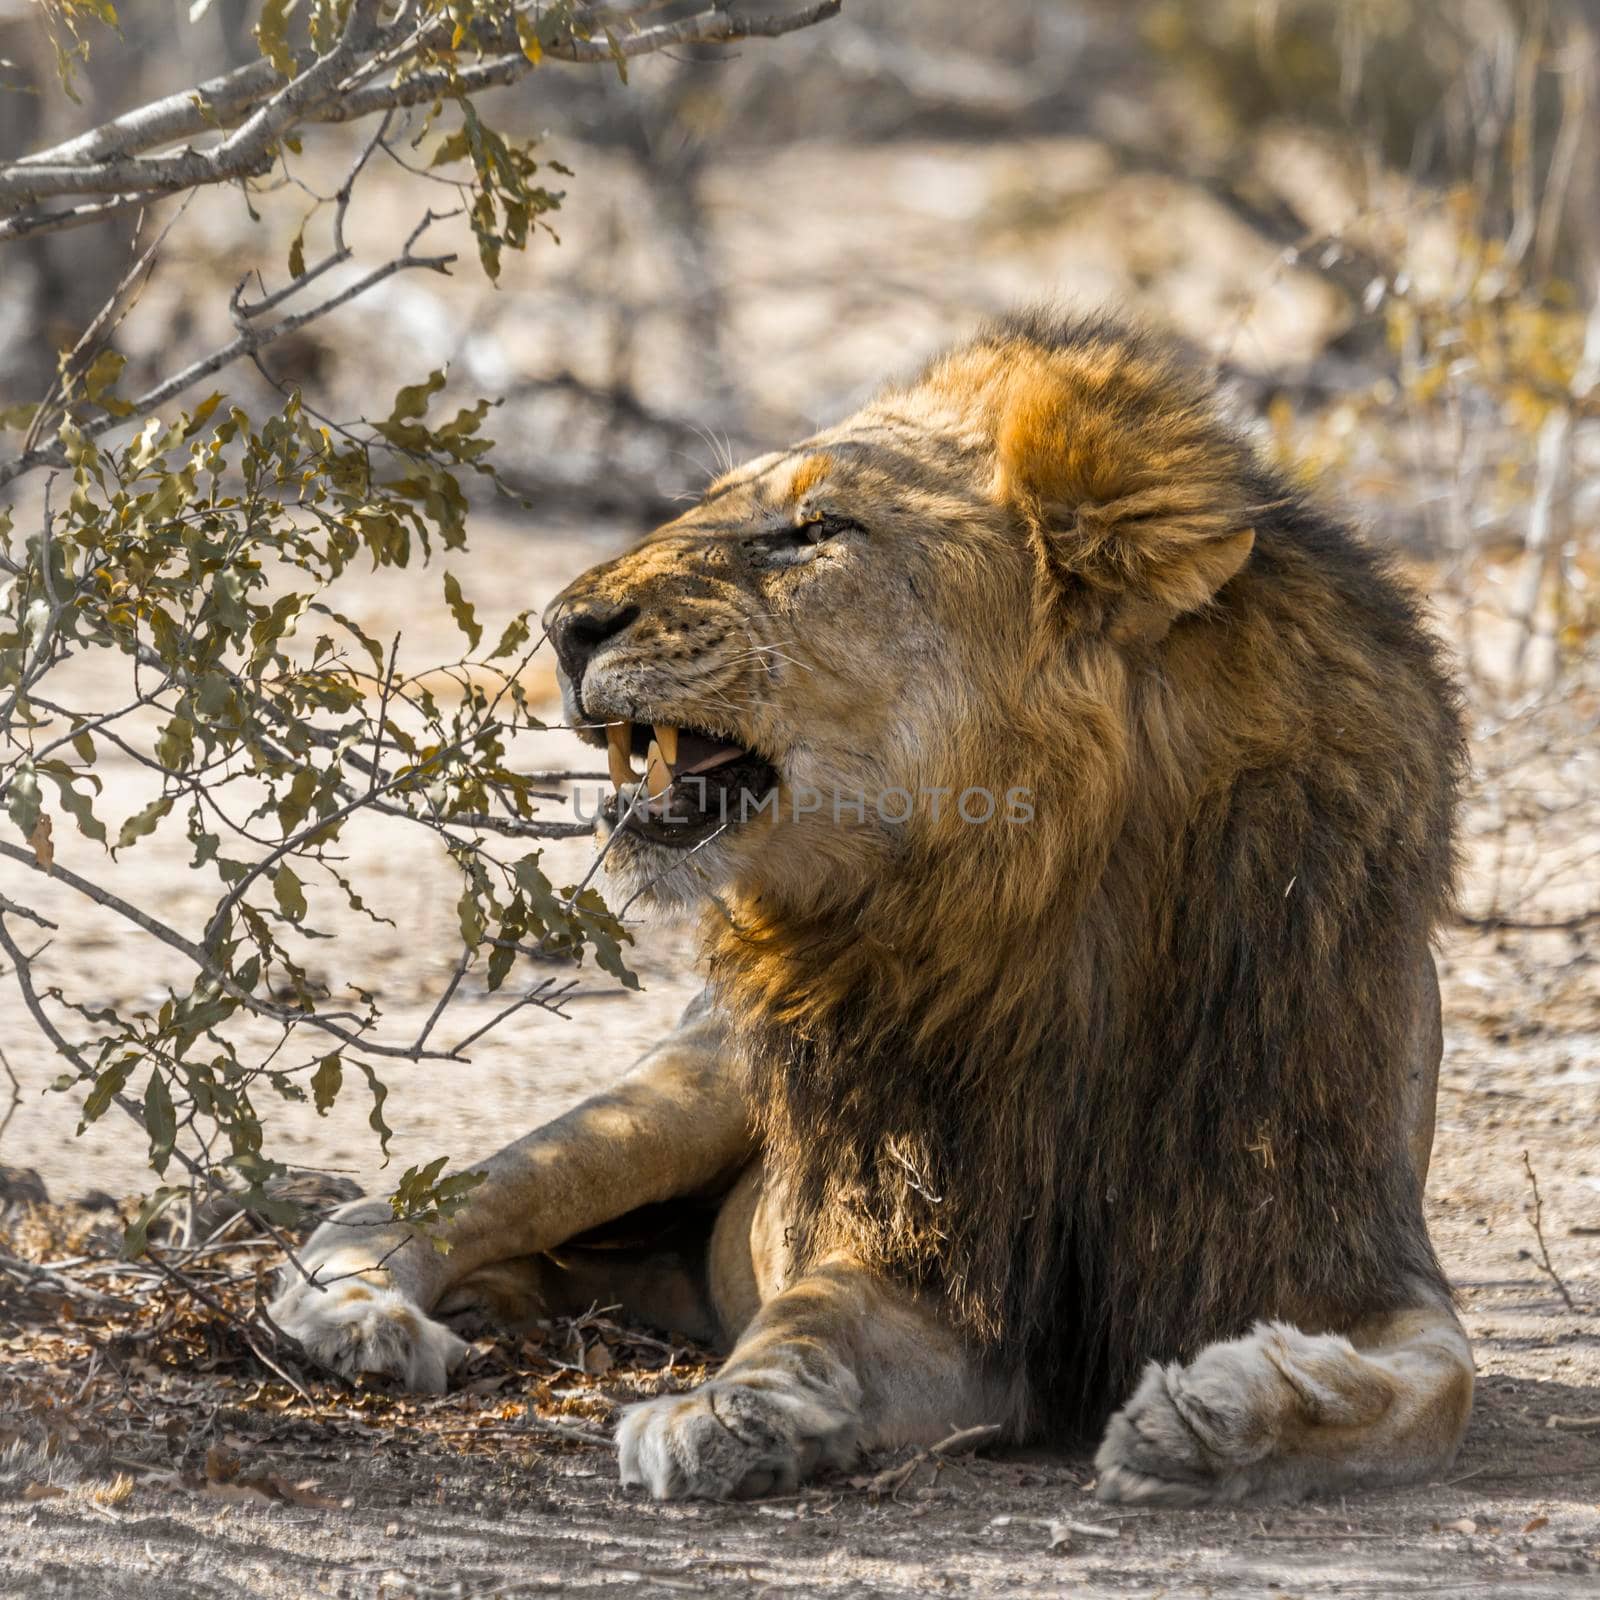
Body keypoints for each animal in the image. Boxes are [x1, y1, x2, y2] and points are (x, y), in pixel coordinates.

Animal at [265, 315, 1472, 1510]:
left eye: (814, 531)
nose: (565, 626)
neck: (1060, 902)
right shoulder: (930, 1257)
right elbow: (817, 1311)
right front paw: (729, 1414)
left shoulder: (1343, 1250)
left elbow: (1431, 1388)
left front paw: (1216, 1415)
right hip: (682, 1092)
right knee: (417, 1206)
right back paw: (366, 1320)